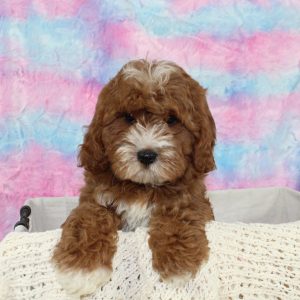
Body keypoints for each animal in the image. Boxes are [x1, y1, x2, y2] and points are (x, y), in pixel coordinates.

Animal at [51, 59, 216, 296]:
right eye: (128, 118)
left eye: (172, 119)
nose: (146, 155)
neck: (143, 186)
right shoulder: (95, 198)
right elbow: (89, 218)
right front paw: (79, 269)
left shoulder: (191, 199)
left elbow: (179, 215)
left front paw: (178, 265)